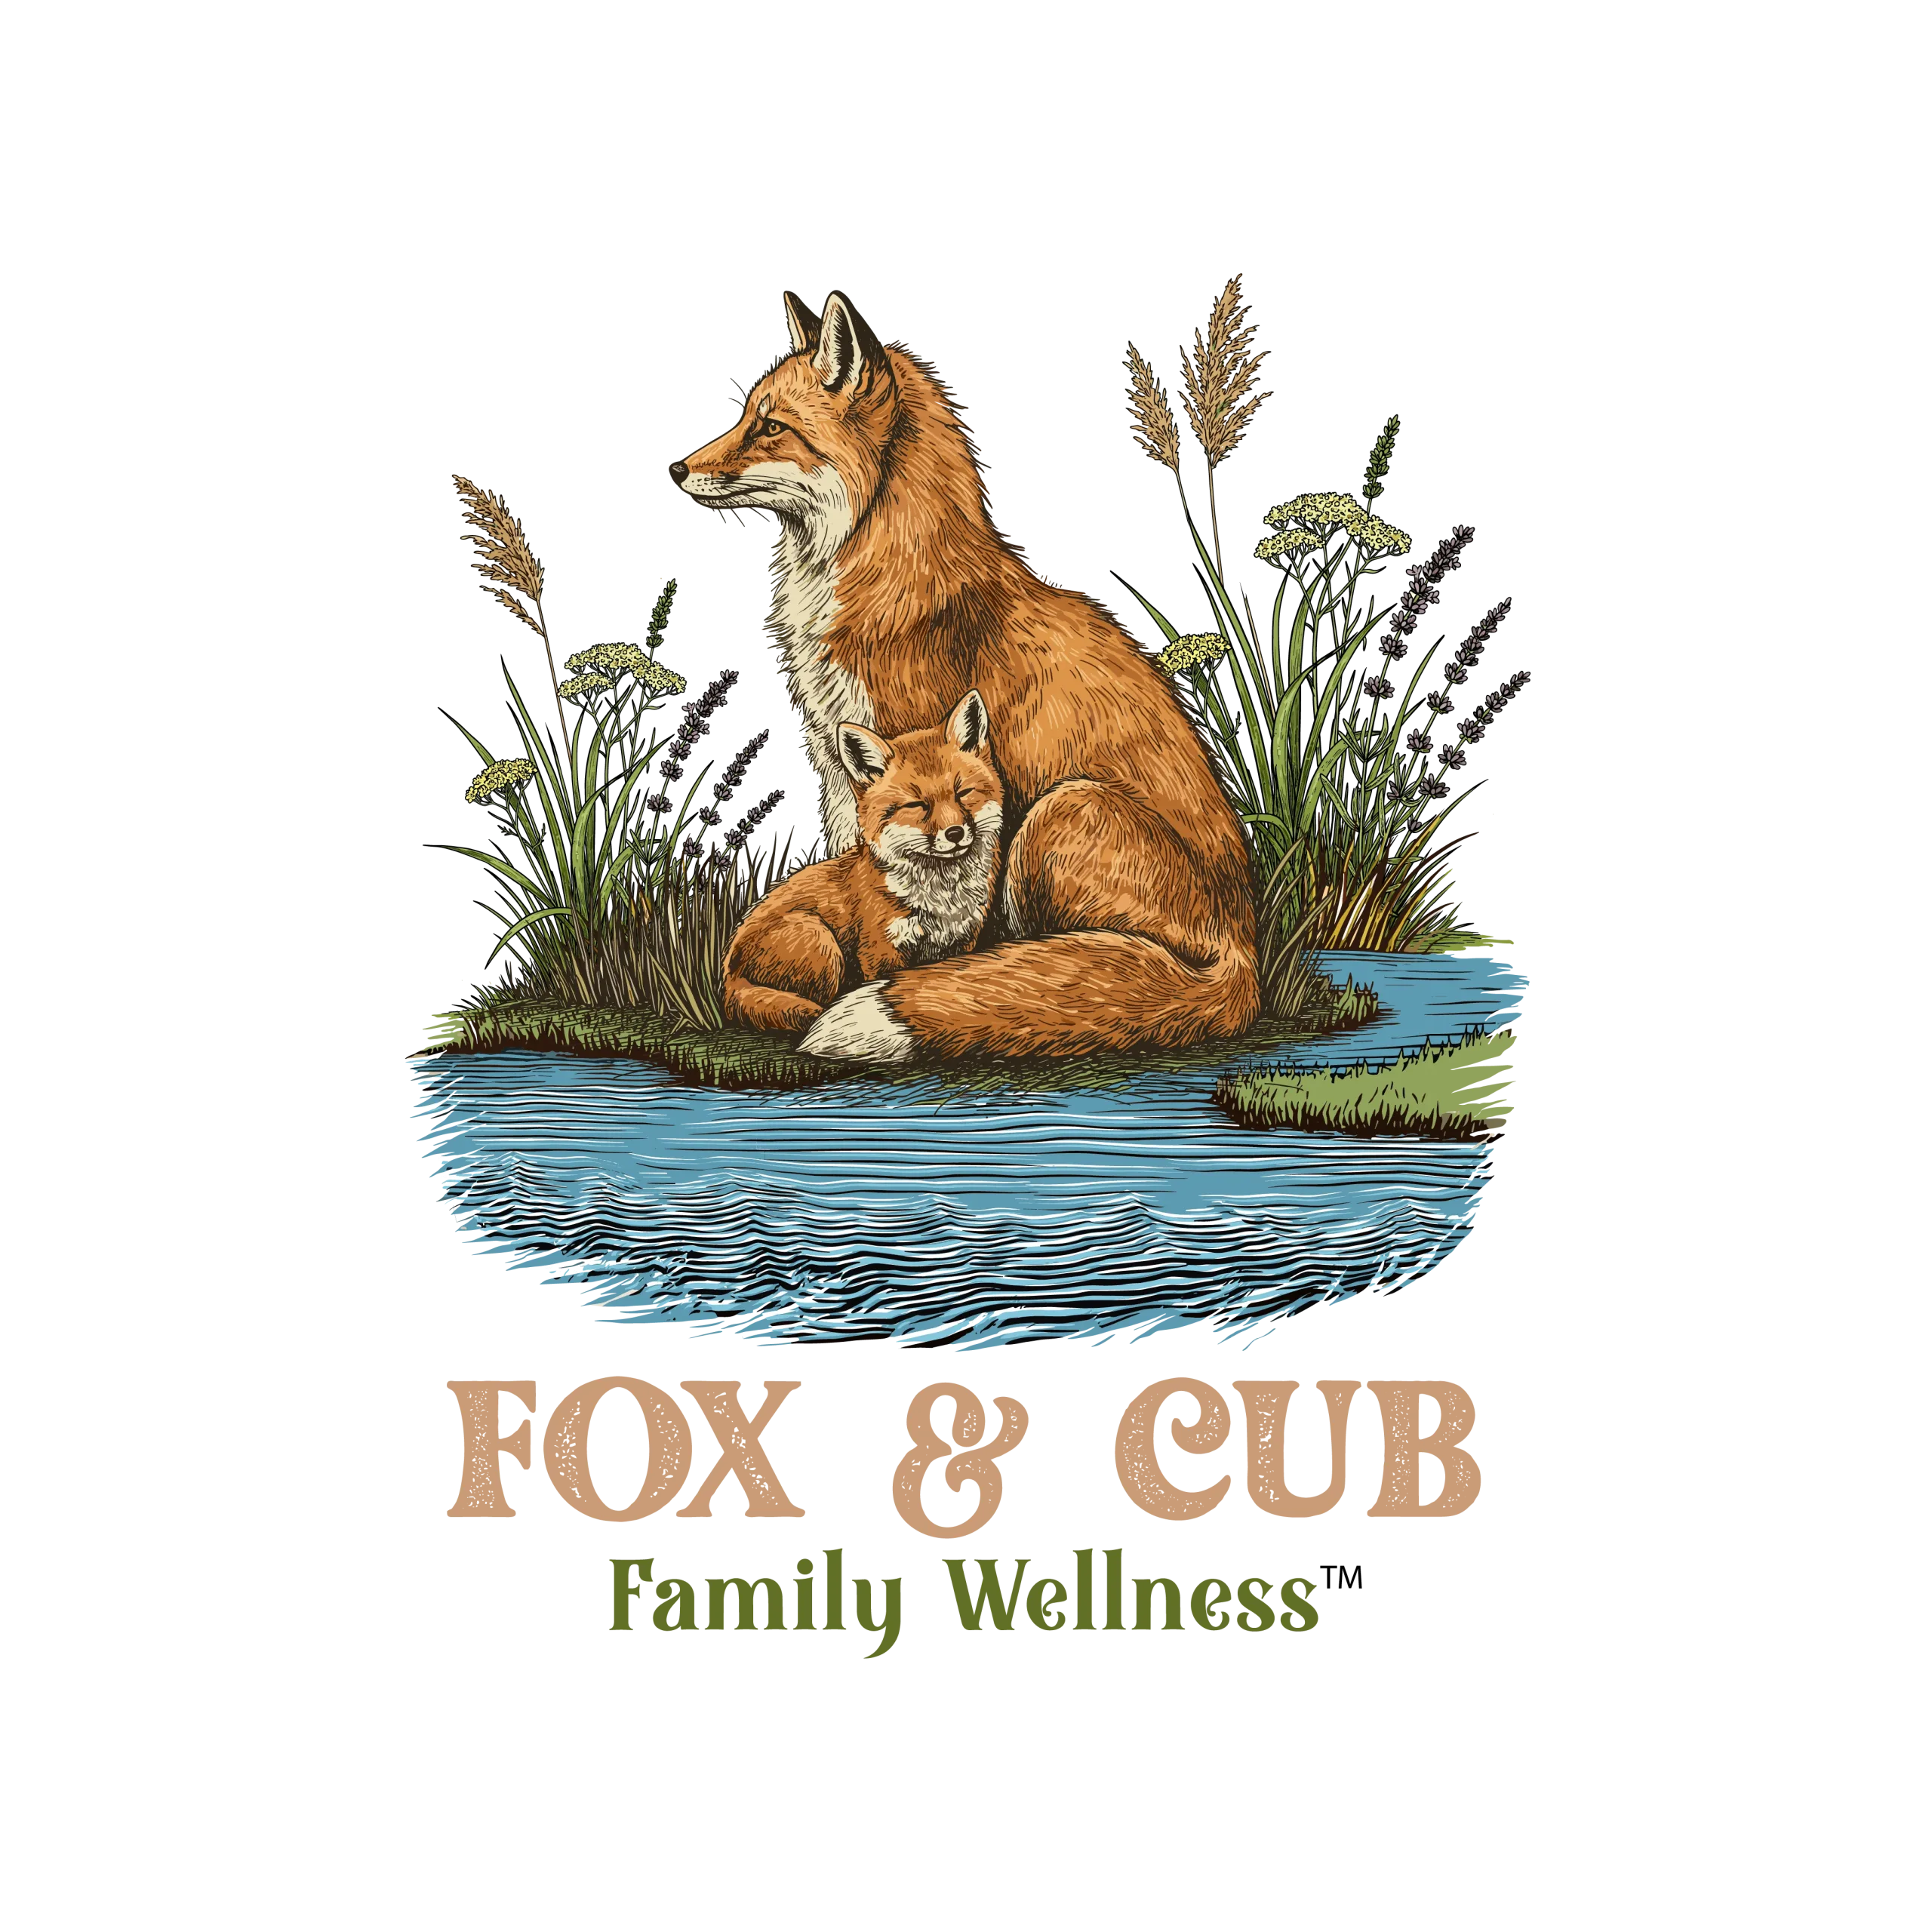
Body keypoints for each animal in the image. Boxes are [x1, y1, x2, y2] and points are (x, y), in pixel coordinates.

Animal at [722, 688, 1003, 1040]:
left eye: (962, 792)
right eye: (916, 805)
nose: (955, 833)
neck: (941, 899)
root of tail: (727, 974)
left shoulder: (962, 943)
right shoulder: (880, 952)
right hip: (820, 940)